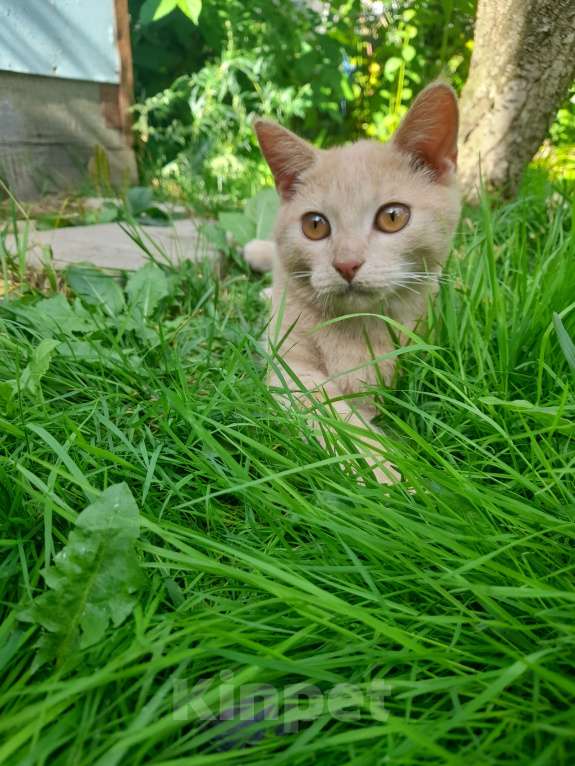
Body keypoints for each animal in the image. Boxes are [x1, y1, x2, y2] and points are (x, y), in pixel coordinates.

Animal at [245, 81, 462, 484]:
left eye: (393, 217)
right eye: (315, 225)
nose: (346, 264)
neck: (357, 326)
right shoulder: (289, 365)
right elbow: (331, 411)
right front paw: (382, 469)